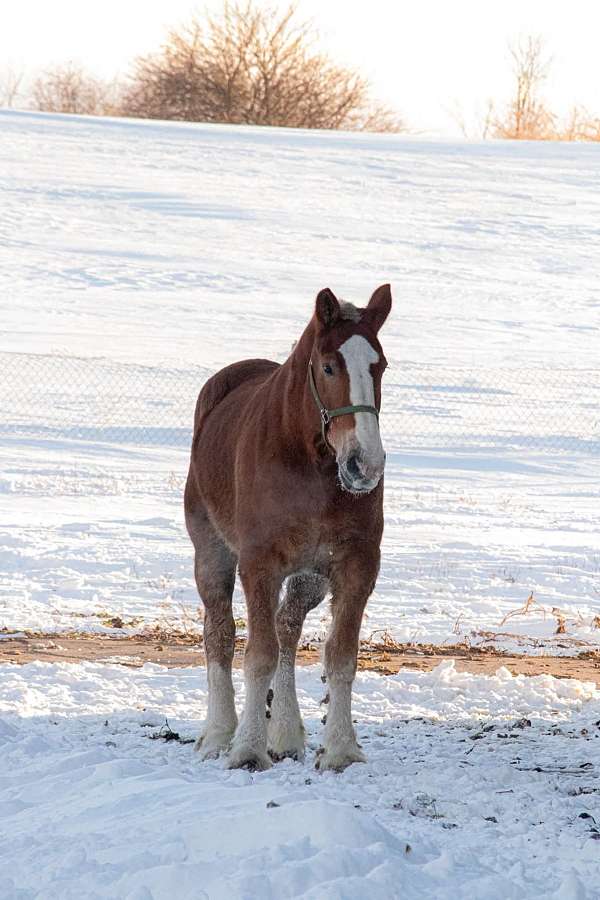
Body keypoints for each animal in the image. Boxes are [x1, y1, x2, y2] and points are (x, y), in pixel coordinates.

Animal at [184, 284, 392, 772]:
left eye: (381, 366)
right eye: (328, 366)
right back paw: (219, 734)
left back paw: (285, 734)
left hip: (309, 578)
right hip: (212, 553)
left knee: (287, 629)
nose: (365, 465)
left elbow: (341, 657)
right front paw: (246, 749)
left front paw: (340, 750)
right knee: (220, 633)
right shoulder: (259, 565)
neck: (310, 465)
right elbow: (257, 655)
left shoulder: (356, 566)